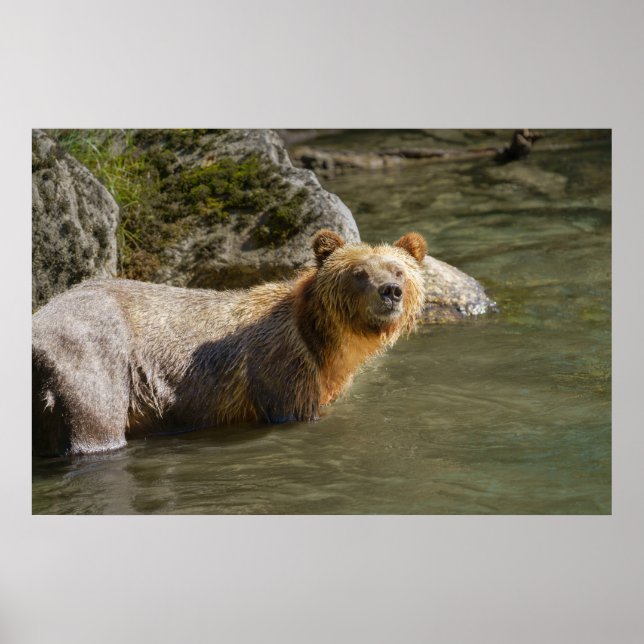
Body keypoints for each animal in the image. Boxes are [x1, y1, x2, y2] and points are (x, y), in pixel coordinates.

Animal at [32, 229, 427, 456]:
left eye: (399, 270)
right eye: (359, 272)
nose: (390, 291)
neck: (324, 343)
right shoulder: (281, 366)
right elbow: (293, 411)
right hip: (92, 359)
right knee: (95, 424)